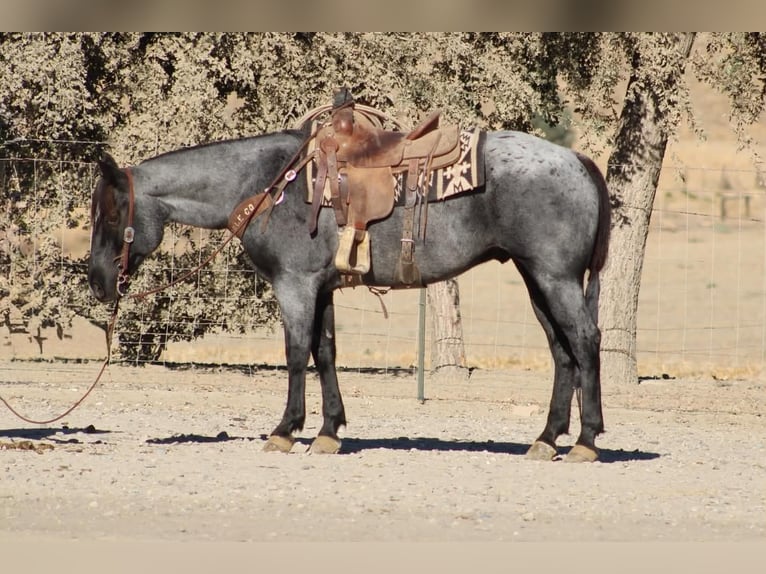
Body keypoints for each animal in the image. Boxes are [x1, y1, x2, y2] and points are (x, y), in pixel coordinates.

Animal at [87, 125, 611, 463]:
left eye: (110, 214)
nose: (96, 281)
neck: (267, 184)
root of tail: (577, 160)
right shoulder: (321, 288)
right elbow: (325, 353)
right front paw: (328, 431)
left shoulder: (295, 285)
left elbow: (297, 353)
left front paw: (285, 430)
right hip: (537, 279)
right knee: (562, 351)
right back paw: (547, 439)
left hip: (556, 278)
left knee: (585, 342)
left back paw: (586, 441)